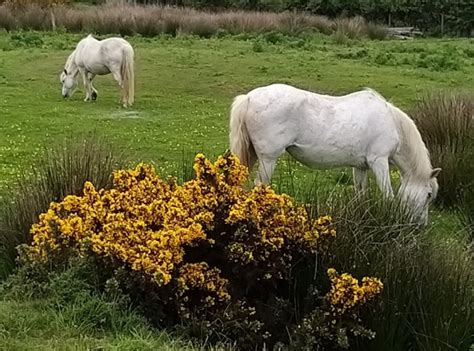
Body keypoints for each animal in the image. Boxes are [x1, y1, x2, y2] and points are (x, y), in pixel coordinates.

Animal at [230, 83, 440, 226]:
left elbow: (360, 194)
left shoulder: (360, 167)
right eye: (429, 194)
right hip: (268, 159)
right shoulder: (379, 162)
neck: (391, 122)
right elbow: (388, 195)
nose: (420, 225)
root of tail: (249, 98)